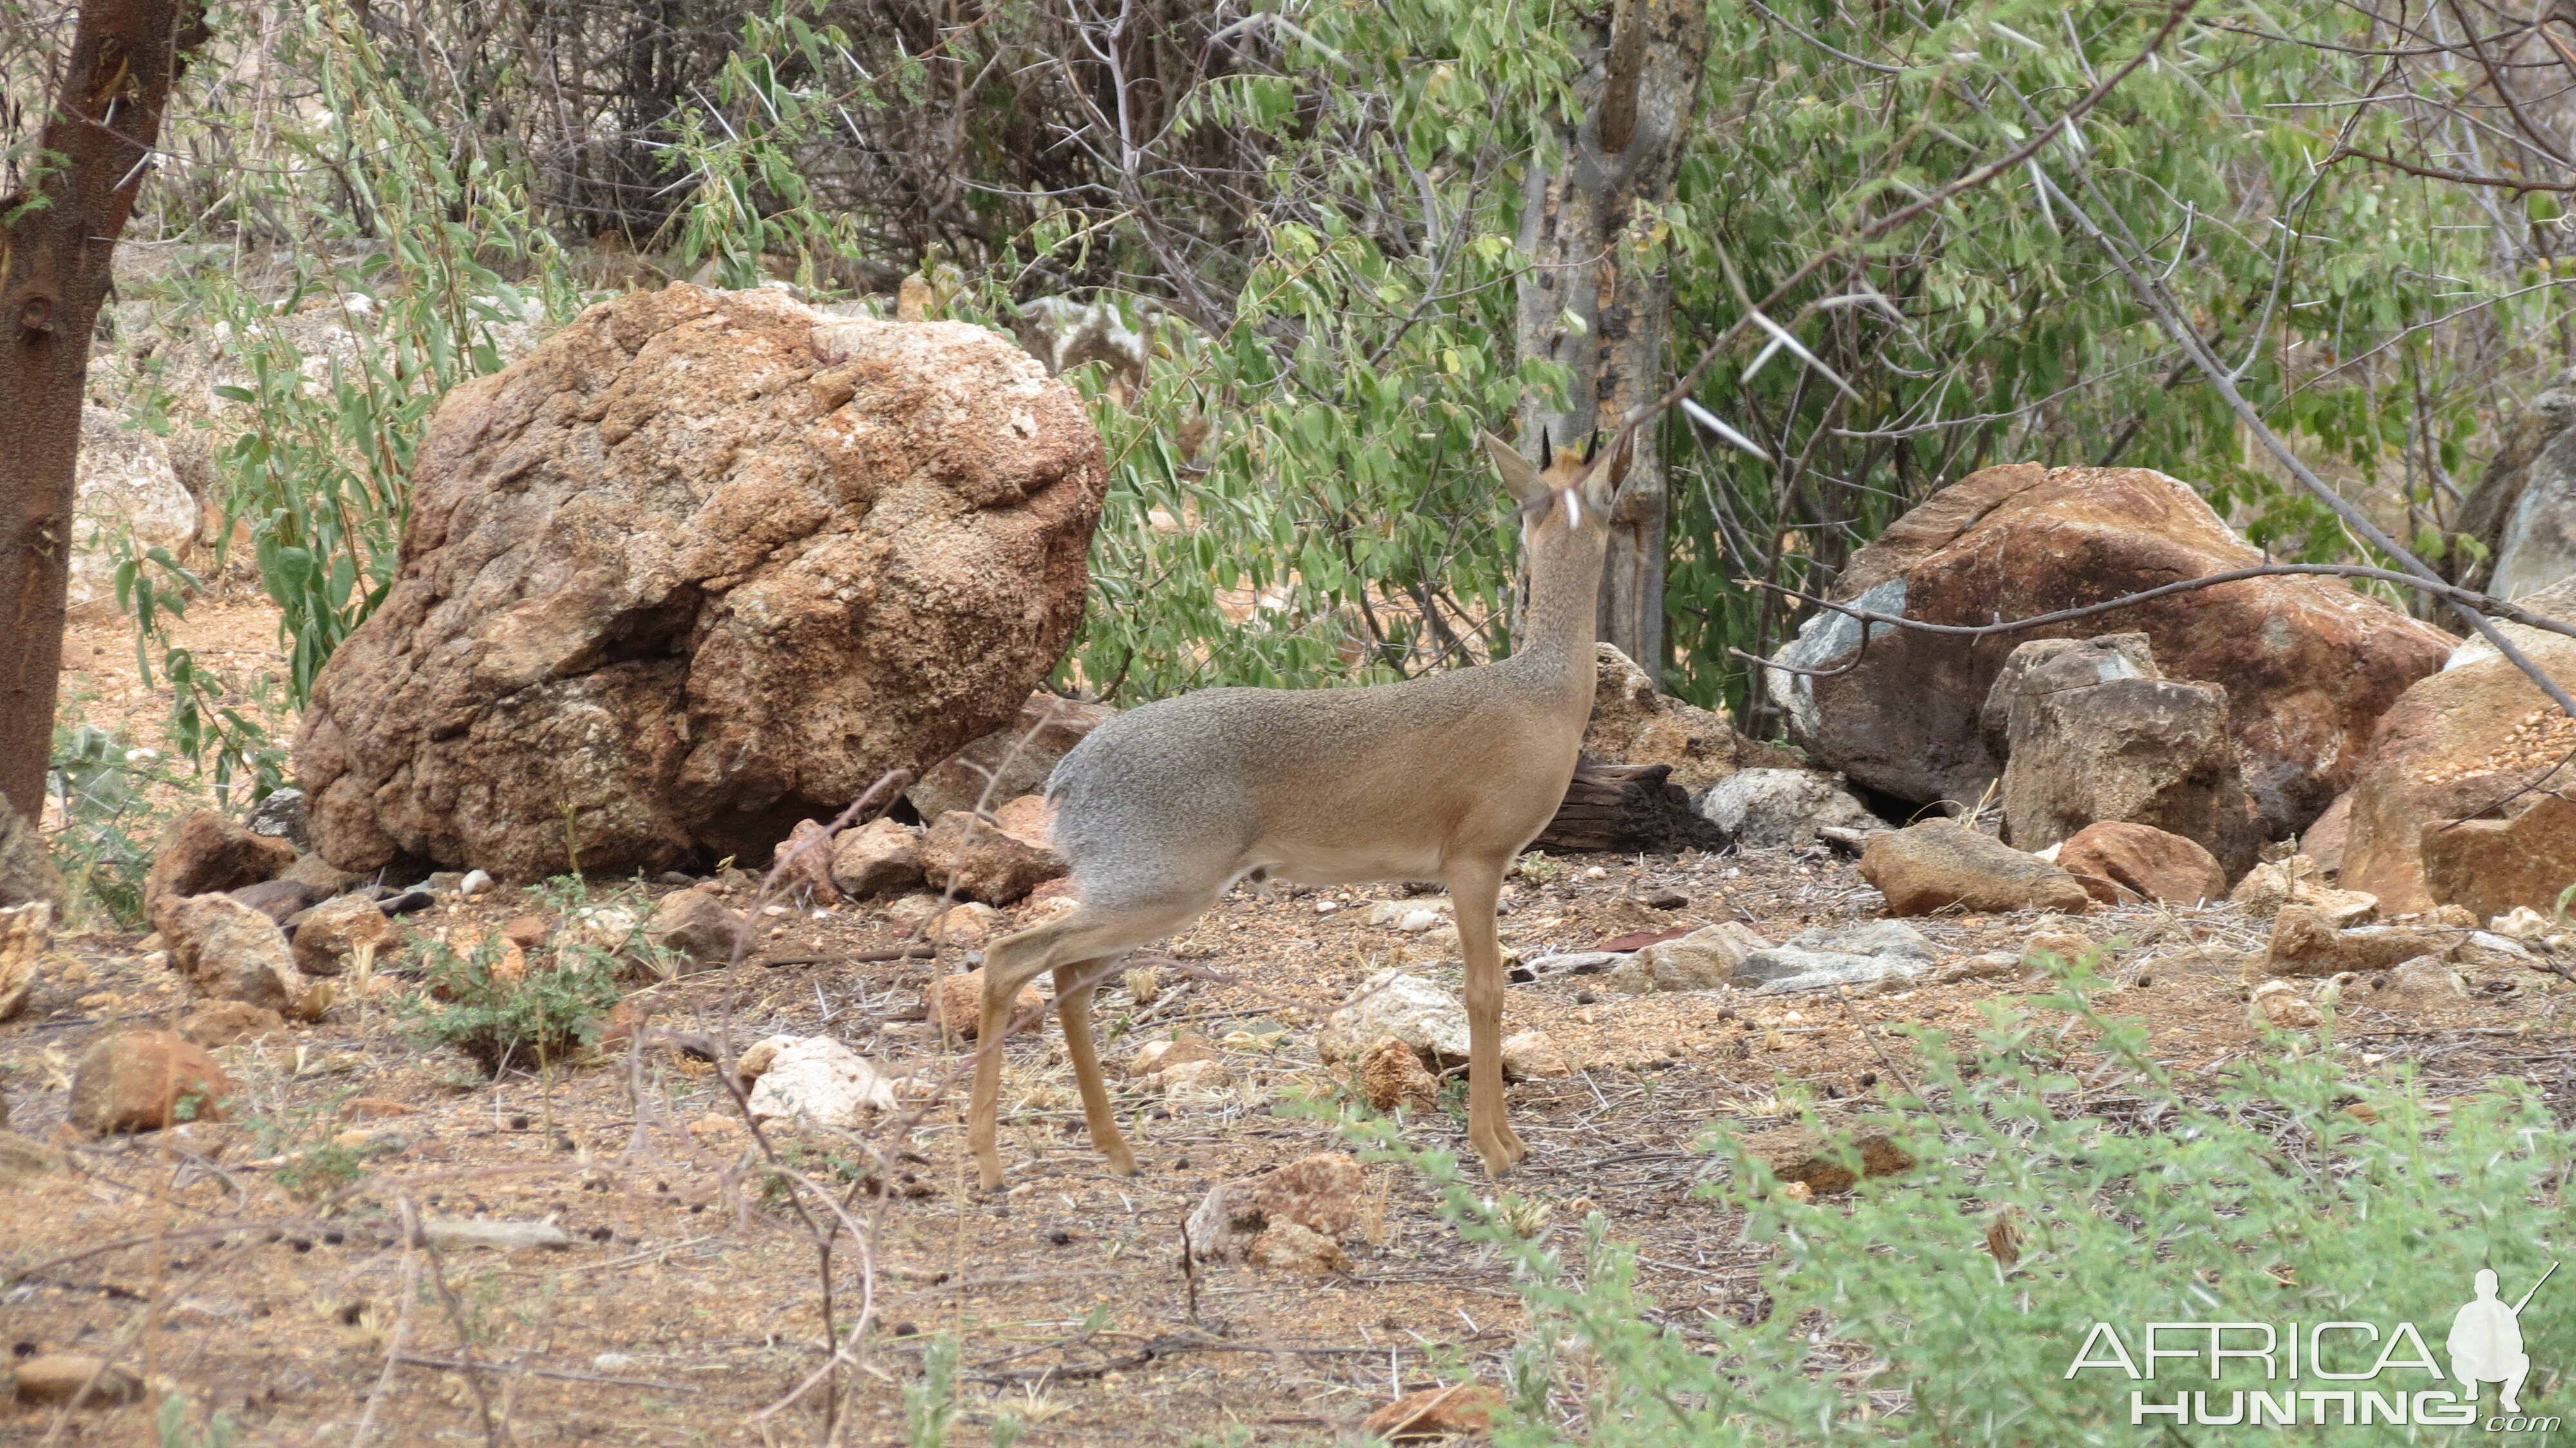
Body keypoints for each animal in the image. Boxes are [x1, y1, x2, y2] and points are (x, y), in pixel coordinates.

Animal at [969, 425, 1628, 1185]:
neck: (1543, 697)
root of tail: (1068, 776)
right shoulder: (1475, 862)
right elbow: (1483, 991)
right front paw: (1495, 1146)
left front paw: (1506, 1140)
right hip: (1159, 890)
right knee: (1011, 956)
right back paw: (986, 1161)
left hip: (1134, 894)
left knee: (1066, 973)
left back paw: (1114, 1148)